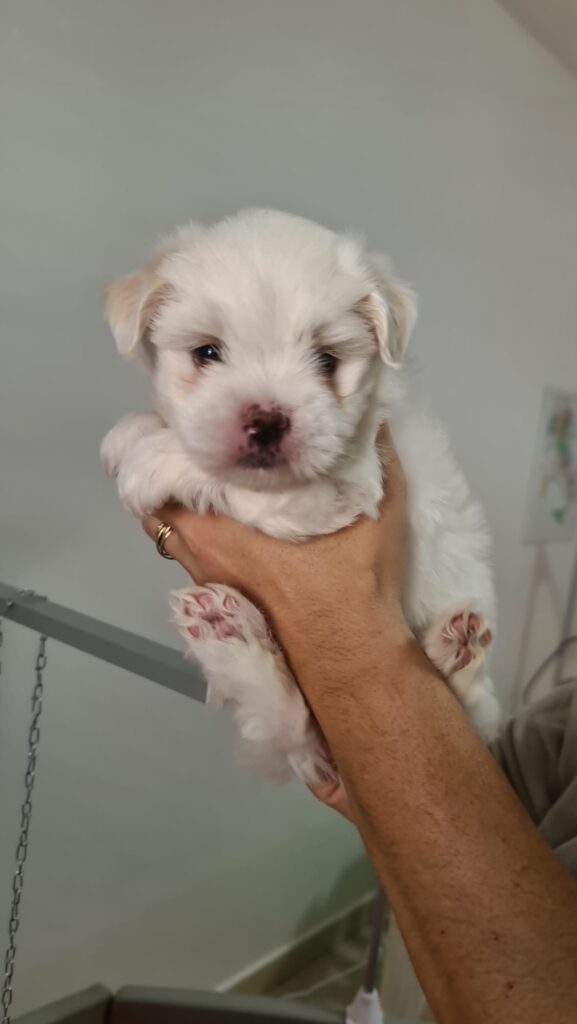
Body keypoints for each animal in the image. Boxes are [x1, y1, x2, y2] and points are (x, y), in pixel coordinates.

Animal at [102, 207, 502, 782]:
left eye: (326, 360)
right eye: (206, 353)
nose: (267, 422)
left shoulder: (344, 486)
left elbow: (238, 485)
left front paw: (153, 461)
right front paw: (133, 431)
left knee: (475, 712)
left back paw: (457, 653)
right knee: (290, 722)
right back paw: (230, 633)